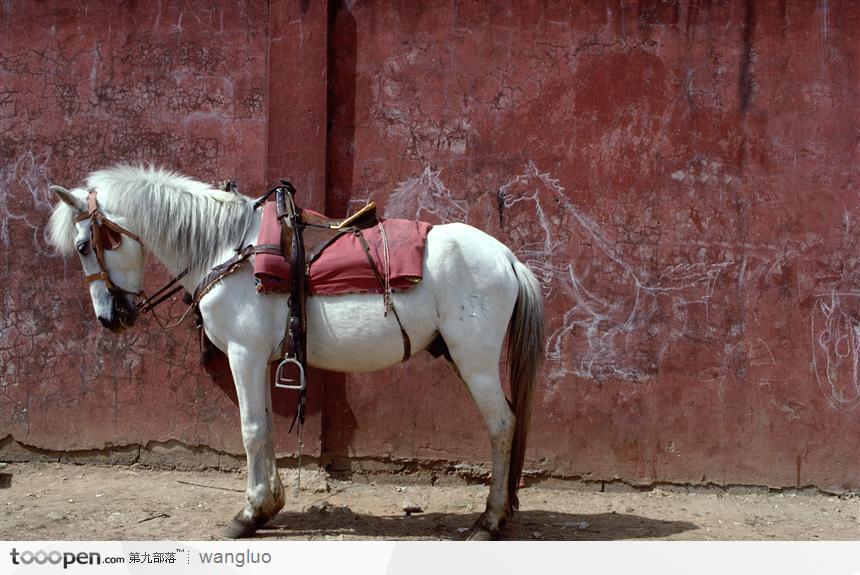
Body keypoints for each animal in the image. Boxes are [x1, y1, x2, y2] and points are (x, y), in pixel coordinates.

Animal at [45, 165, 544, 540]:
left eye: (84, 245)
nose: (110, 318)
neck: (227, 249)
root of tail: (507, 259)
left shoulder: (243, 355)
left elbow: (250, 431)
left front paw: (248, 515)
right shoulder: (259, 360)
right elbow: (265, 428)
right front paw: (269, 506)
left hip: (475, 361)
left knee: (502, 425)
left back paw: (490, 520)